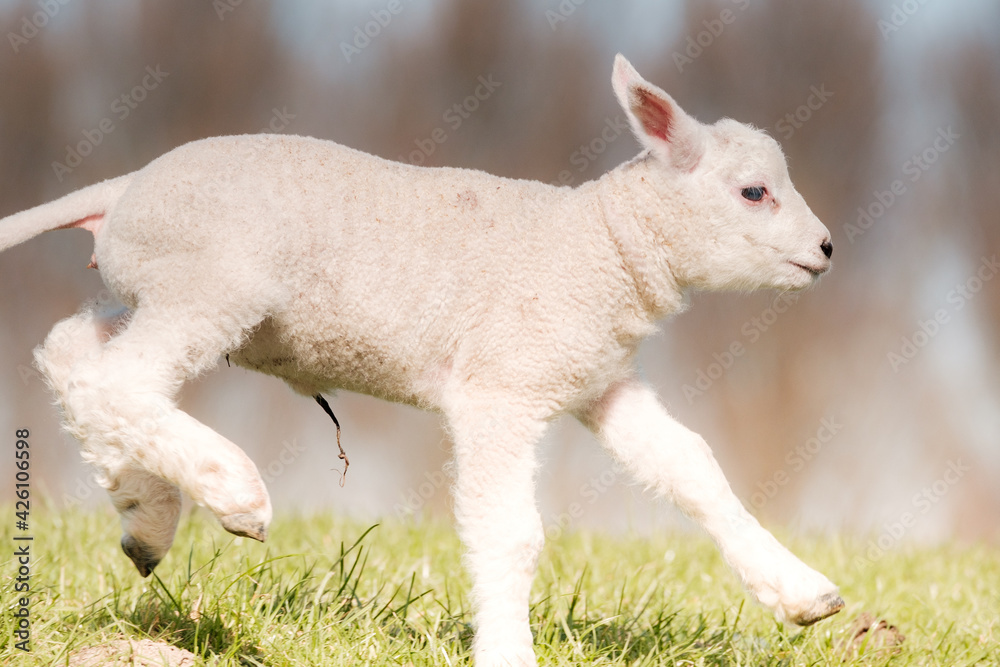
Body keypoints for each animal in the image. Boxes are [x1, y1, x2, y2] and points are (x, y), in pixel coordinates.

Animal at [0, 55, 841, 666]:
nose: (828, 248)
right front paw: (507, 652)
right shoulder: (499, 389)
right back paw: (229, 489)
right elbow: (510, 530)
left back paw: (144, 510)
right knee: (120, 377)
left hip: (178, 292)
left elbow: (695, 468)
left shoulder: (596, 381)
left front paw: (802, 592)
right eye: (755, 192)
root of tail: (124, 187)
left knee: (76, 352)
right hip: (210, 282)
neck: (601, 244)